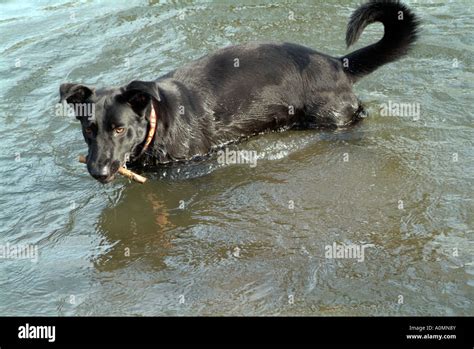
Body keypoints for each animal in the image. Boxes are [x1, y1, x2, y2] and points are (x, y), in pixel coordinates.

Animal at [59, 0, 418, 184]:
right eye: (88, 130)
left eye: (120, 129)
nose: (97, 171)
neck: (160, 121)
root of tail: (336, 63)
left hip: (331, 118)